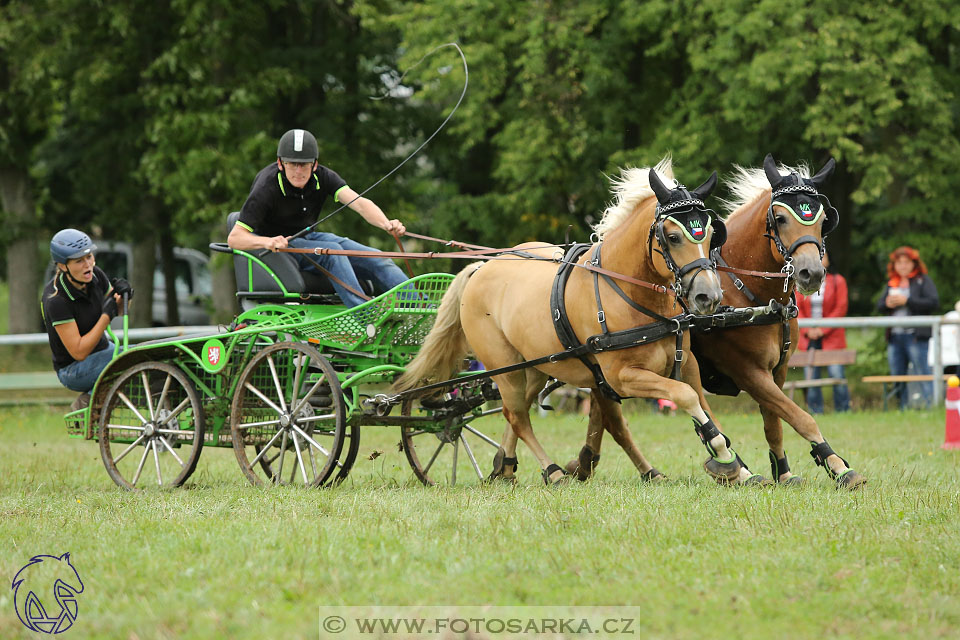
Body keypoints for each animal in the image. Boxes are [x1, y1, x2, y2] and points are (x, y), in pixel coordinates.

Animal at [394, 160, 748, 484]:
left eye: (712, 234)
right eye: (673, 237)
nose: (709, 296)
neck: (629, 293)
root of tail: (482, 267)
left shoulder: (686, 363)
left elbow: (700, 402)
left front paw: (735, 464)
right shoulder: (621, 376)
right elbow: (684, 396)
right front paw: (724, 456)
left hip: (536, 365)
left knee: (517, 409)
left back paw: (505, 466)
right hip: (503, 366)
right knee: (517, 415)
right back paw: (551, 471)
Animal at [568, 155, 868, 490]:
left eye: (822, 219)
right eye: (780, 218)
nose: (811, 273)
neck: (749, 295)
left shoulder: (777, 372)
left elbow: (775, 423)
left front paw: (784, 472)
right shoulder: (749, 372)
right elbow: (799, 416)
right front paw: (837, 465)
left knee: (603, 412)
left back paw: (583, 463)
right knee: (611, 417)